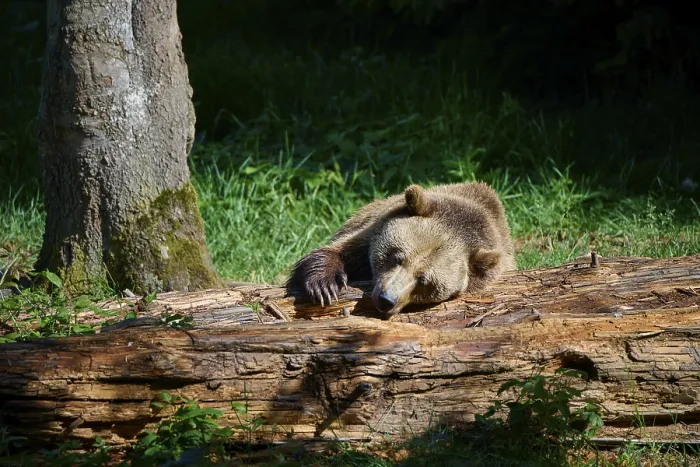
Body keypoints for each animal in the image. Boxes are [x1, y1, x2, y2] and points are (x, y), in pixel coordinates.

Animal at [286, 181, 516, 317]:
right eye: (397, 257)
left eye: (424, 280)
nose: (386, 299)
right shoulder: (368, 232)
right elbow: (336, 251)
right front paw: (324, 286)